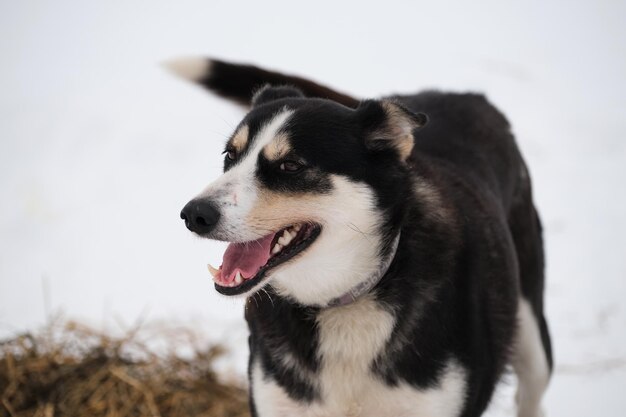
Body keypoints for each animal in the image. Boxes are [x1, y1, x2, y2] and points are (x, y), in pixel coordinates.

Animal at [167, 58, 552, 416]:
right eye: (230, 155)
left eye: (291, 165)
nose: (195, 214)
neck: (342, 300)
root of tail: (467, 96)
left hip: (534, 340)